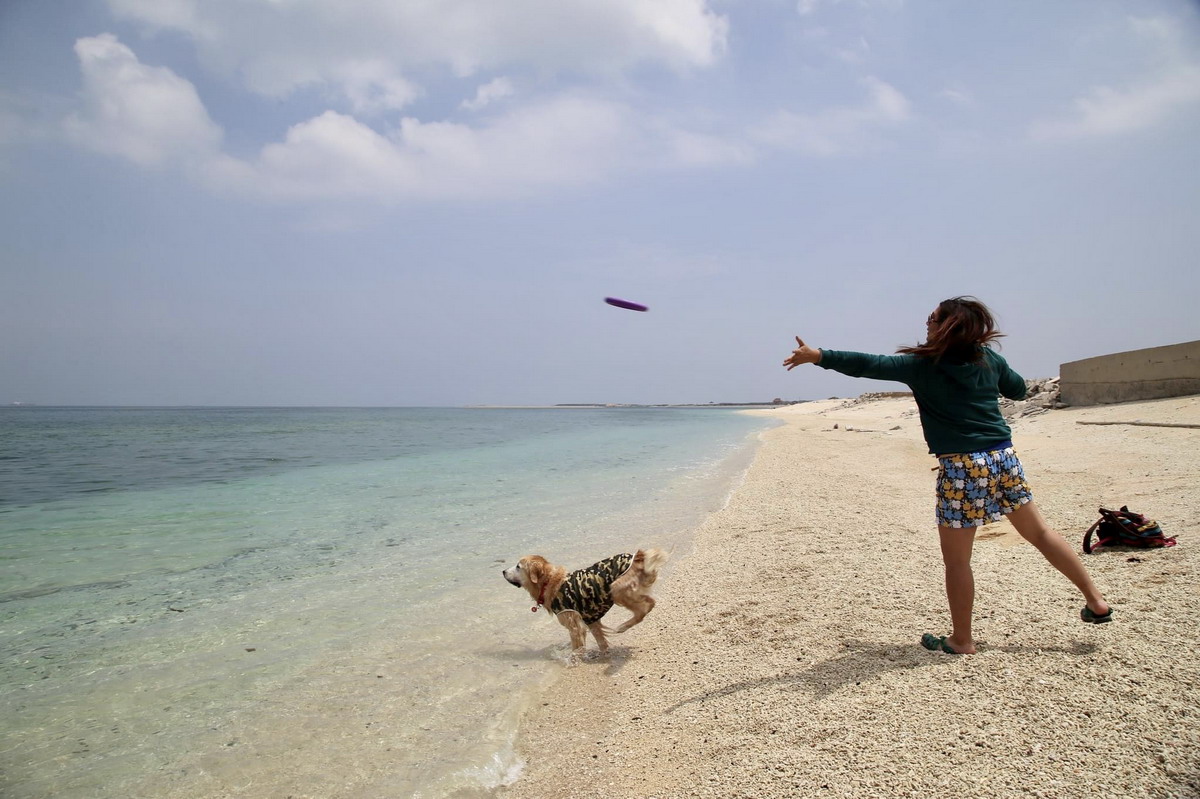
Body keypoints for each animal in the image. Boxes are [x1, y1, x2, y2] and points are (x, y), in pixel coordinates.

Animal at [496, 547, 667, 652]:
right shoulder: (591, 619)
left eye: (518, 566)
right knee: (651, 602)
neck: (549, 582)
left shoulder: (574, 624)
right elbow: (601, 640)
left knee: (643, 609)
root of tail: (639, 556)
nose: (503, 571)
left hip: (617, 589)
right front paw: (604, 653)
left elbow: (577, 647)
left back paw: (622, 626)